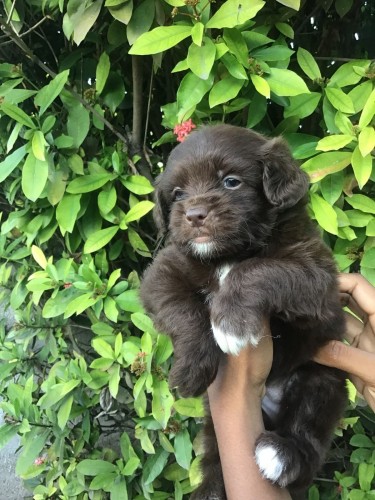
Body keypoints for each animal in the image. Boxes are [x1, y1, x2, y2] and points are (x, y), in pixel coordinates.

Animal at [142, 125, 350, 500]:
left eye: (231, 182)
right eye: (178, 193)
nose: (194, 214)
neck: (227, 254)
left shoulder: (319, 282)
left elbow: (258, 269)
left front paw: (231, 325)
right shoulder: (162, 273)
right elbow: (181, 308)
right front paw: (191, 368)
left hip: (320, 380)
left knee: (308, 437)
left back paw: (282, 455)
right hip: (214, 425)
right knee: (215, 460)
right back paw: (209, 491)